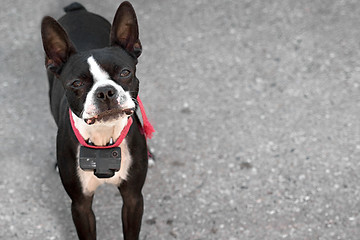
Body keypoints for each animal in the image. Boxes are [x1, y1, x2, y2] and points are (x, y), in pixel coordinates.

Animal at [40, 1, 153, 238]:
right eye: (76, 83)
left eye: (125, 72)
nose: (105, 92)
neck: (103, 136)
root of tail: (77, 10)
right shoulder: (80, 205)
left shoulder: (133, 198)